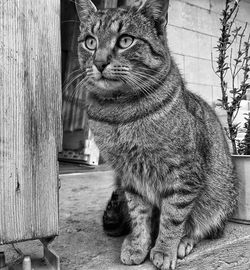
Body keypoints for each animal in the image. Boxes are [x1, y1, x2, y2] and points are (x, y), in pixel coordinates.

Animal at [74, 1, 238, 268]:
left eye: (125, 40)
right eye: (90, 42)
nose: (99, 62)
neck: (120, 114)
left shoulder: (183, 173)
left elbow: (173, 217)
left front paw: (164, 249)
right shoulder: (130, 177)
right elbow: (139, 215)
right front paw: (139, 245)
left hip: (220, 198)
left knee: (206, 226)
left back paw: (184, 241)